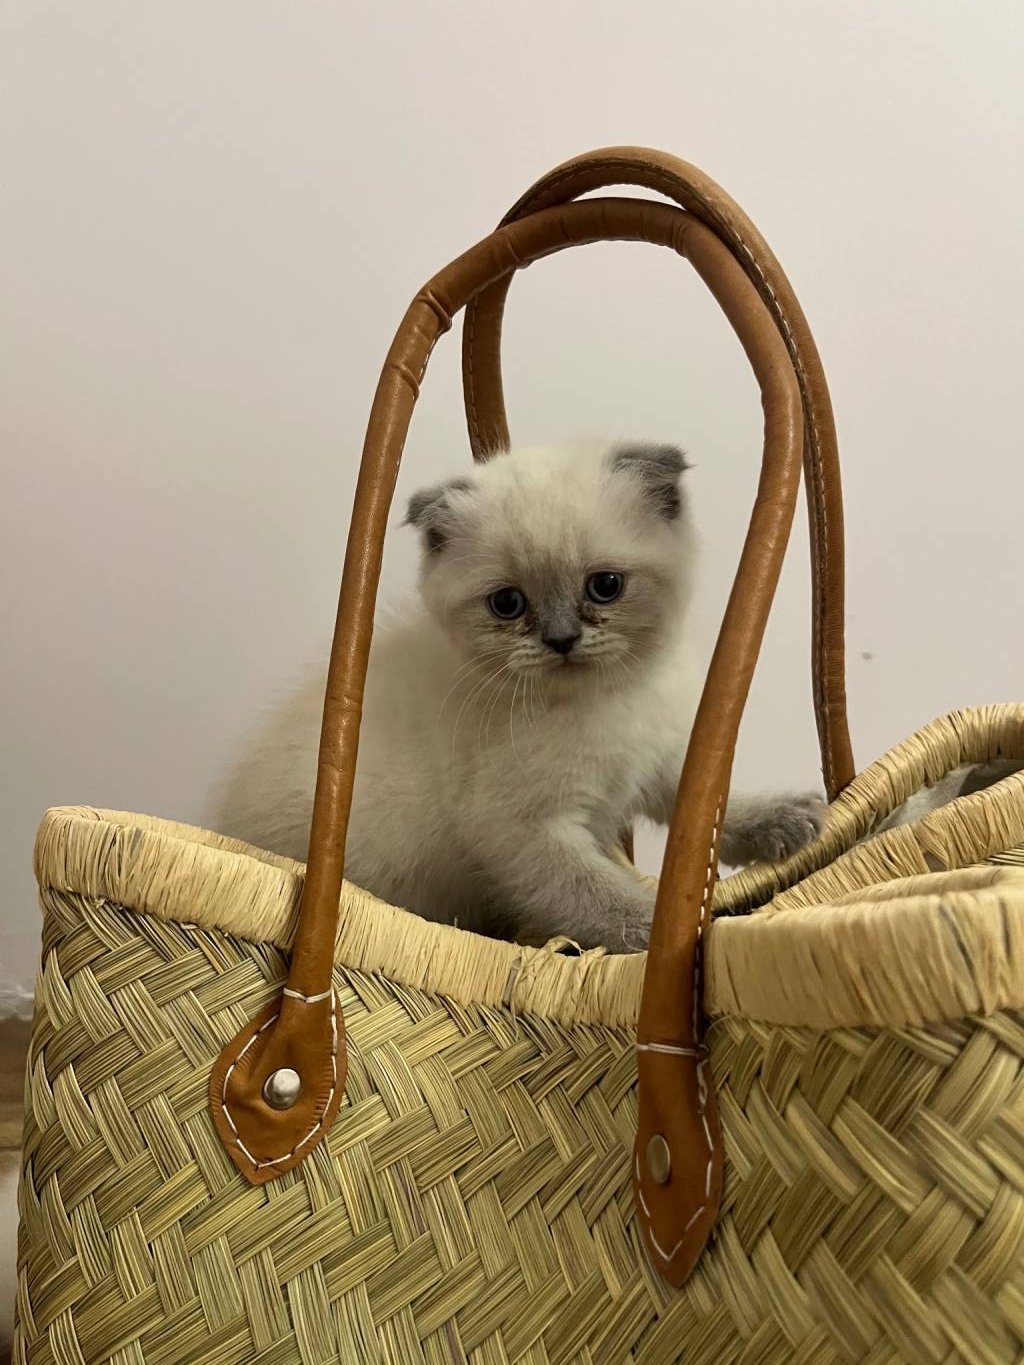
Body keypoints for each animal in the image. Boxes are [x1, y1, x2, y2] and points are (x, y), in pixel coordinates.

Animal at [214, 440, 826, 950]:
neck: (607, 702)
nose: (561, 640)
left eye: (605, 586)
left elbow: (709, 810)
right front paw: (669, 932)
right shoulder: (521, 832)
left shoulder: (659, 765)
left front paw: (784, 821)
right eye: (507, 604)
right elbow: (601, 894)